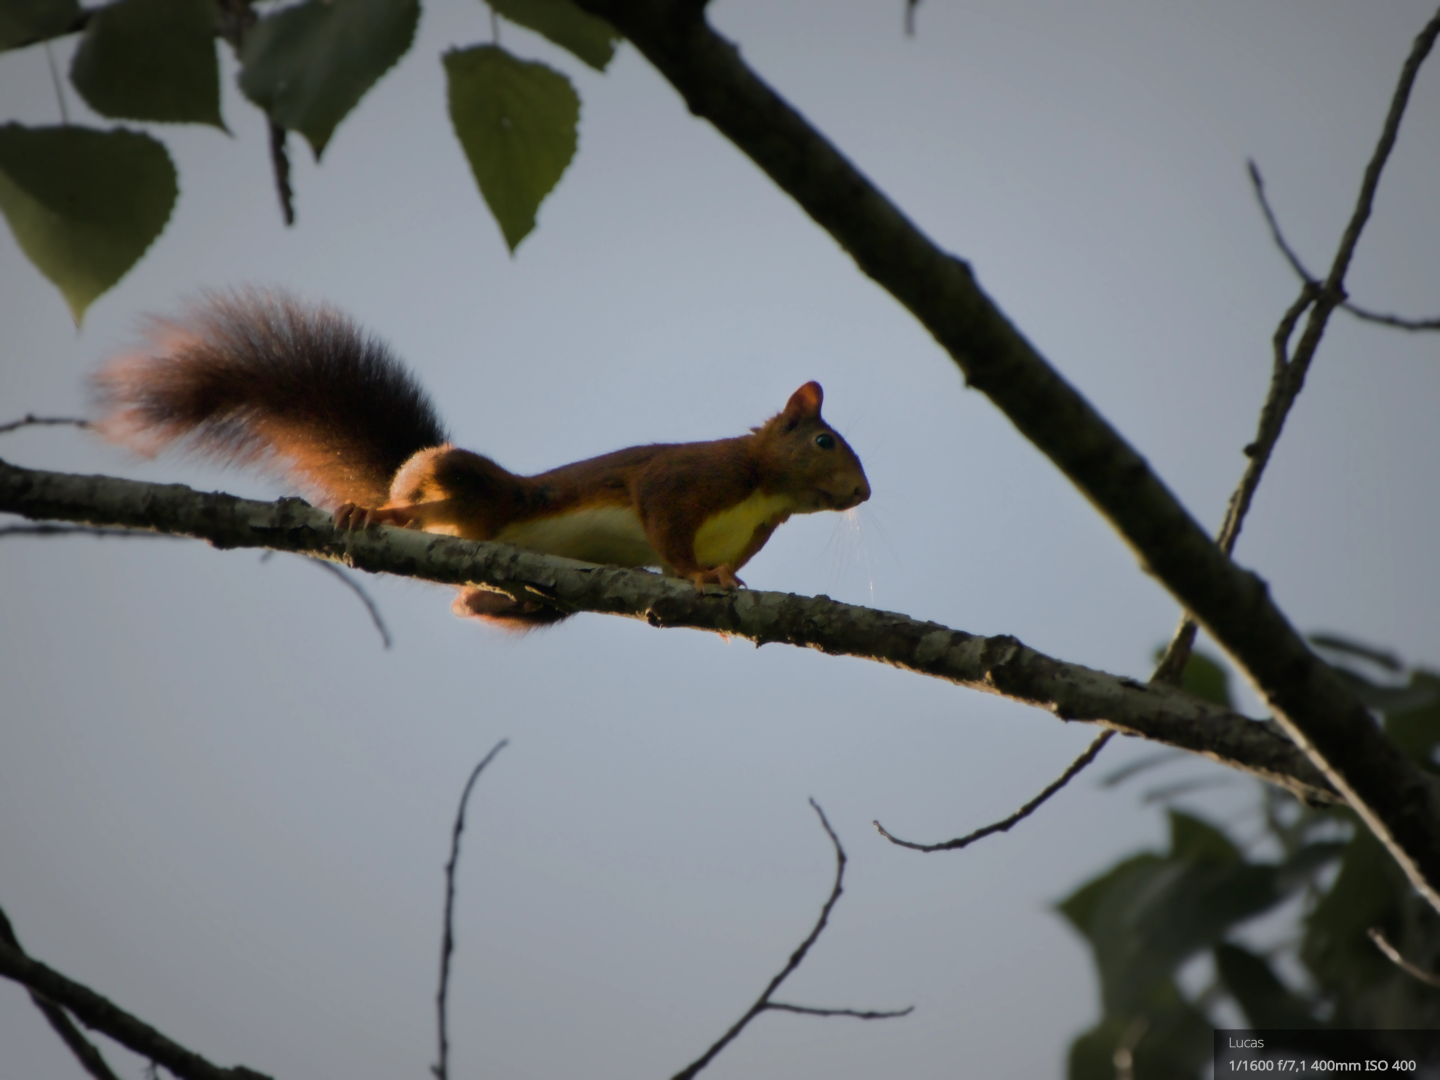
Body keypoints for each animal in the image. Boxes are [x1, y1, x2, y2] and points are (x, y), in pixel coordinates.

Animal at [92, 289, 872, 627]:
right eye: (825, 441)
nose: (864, 496)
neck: (765, 491)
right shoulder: (683, 480)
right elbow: (667, 529)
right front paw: (698, 574)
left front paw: (725, 577)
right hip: (473, 486)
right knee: (424, 502)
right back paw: (374, 512)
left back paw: (492, 597)